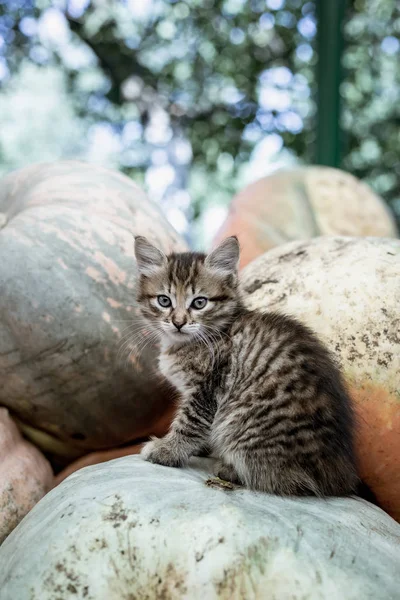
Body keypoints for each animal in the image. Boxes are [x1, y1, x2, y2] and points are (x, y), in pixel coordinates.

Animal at [133, 234, 358, 496]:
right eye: (164, 301)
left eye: (199, 303)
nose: (178, 322)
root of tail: (339, 474)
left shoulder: (209, 388)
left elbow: (190, 423)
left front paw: (167, 450)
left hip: (242, 421)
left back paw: (230, 469)